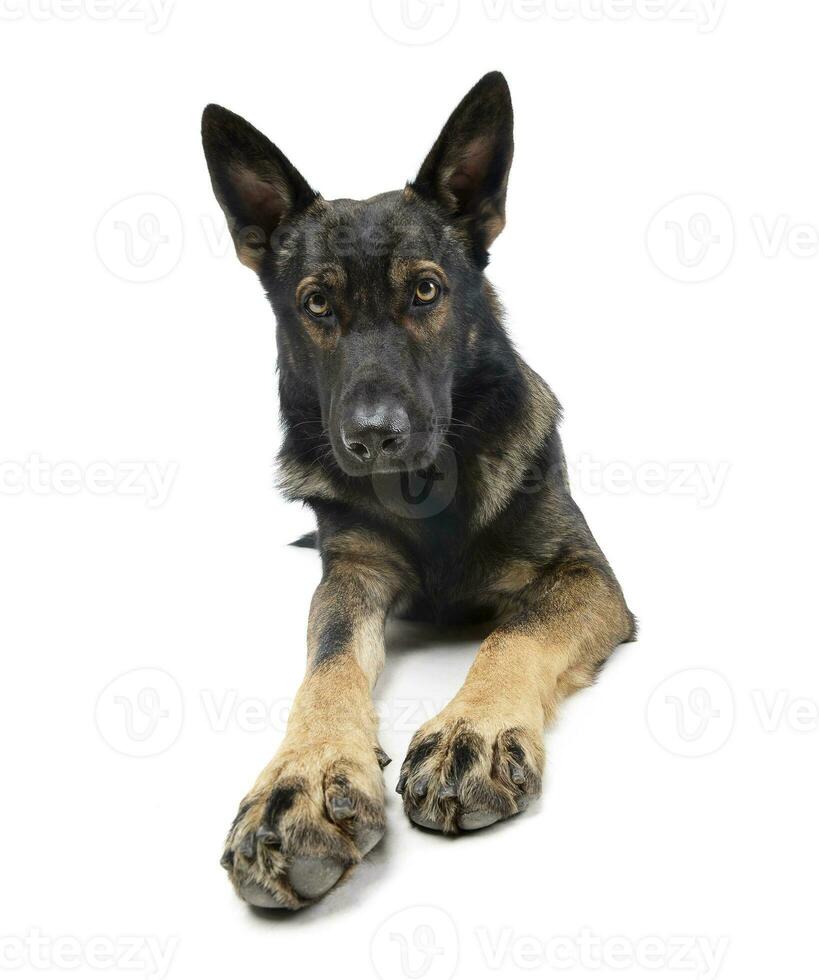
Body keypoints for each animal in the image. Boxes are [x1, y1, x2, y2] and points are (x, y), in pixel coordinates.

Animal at [202, 71, 636, 912]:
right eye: (316, 304)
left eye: (425, 292)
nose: (373, 436)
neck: (424, 489)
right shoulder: (350, 576)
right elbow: (329, 663)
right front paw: (302, 778)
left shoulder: (581, 574)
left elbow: (517, 632)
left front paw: (474, 731)